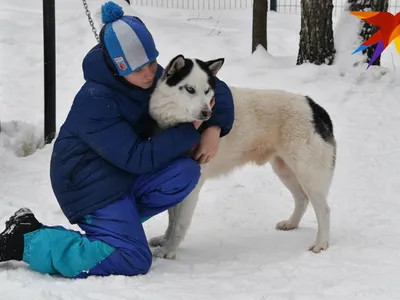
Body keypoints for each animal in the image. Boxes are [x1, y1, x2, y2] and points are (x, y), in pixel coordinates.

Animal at [147, 54, 334, 260]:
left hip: (307, 173)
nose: (207, 113)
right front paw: (164, 240)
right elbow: (171, 219)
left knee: (324, 209)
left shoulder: (192, 185)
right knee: (302, 199)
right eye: (189, 89)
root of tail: (313, 106)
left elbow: (179, 223)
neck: (179, 125)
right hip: (284, 170)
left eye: (207, 91)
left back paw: (321, 243)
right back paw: (291, 223)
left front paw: (169, 250)